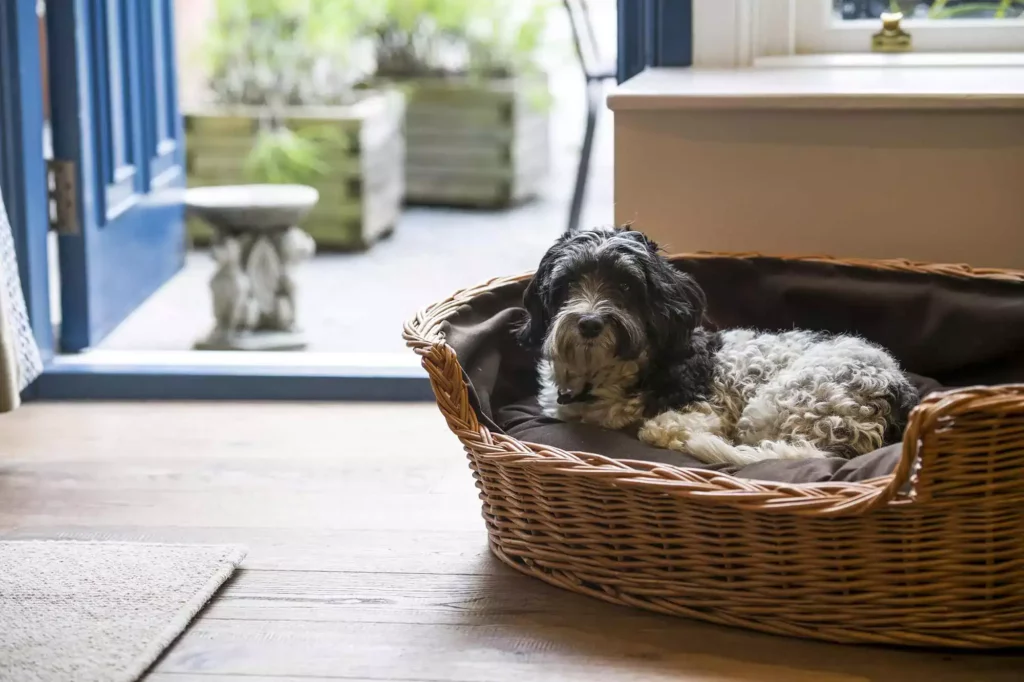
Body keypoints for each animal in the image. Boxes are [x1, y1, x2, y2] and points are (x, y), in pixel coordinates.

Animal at [516, 225, 917, 464]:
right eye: (567, 284)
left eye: (627, 286)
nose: (589, 323)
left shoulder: (704, 412)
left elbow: (666, 427)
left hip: (776, 404)